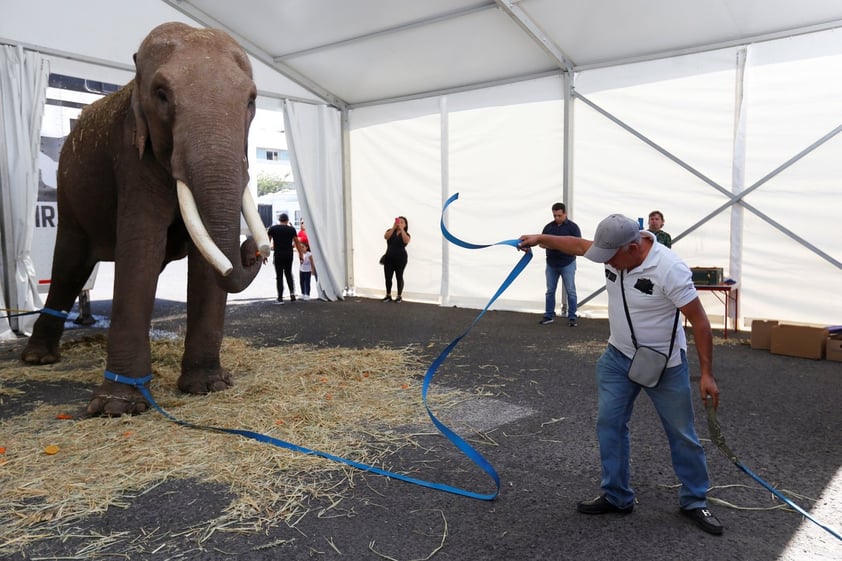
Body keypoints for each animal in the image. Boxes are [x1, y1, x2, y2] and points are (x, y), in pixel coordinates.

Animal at [21, 21, 270, 414]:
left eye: (251, 100)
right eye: (161, 94)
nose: (253, 250)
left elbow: (204, 260)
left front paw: (209, 386)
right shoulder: (131, 157)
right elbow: (141, 248)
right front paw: (116, 407)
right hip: (69, 196)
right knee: (69, 267)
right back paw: (38, 359)